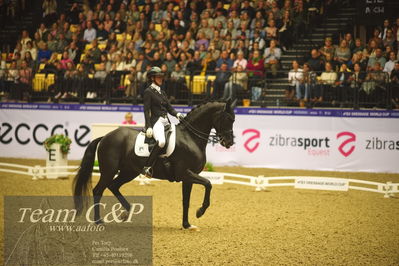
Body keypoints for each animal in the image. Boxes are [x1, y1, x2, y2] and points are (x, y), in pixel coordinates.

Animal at [73, 101, 236, 230]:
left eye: (233, 119)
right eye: (228, 118)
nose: (229, 142)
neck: (190, 138)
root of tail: (106, 136)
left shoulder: (188, 178)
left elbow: (186, 201)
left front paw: (187, 225)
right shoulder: (184, 173)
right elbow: (208, 184)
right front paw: (200, 211)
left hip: (128, 172)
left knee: (114, 186)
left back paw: (127, 212)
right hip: (109, 170)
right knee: (98, 190)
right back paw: (99, 221)